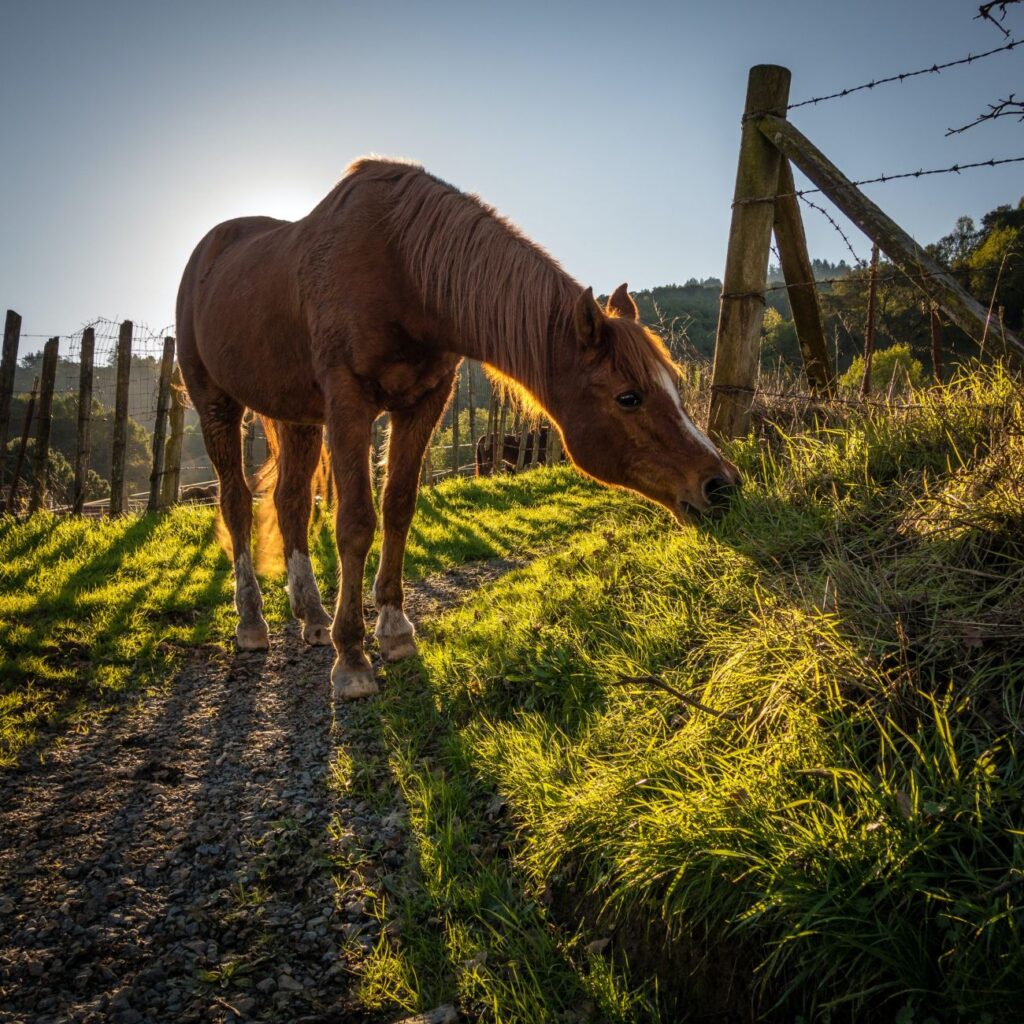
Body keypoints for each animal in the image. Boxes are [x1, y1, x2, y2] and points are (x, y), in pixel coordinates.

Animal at [176, 157, 737, 704]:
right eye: (629, 397)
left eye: (675, 386)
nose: (721, 485)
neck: (402, 269)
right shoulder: (349, 401)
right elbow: (355, 522)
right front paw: (352, 658)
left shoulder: (425, 402)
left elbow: (398, 507)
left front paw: (394, 630)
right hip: (217, 404)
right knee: (236, 503)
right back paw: (252, 622)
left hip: (296, 417)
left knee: (290, 501)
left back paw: (312, 617)